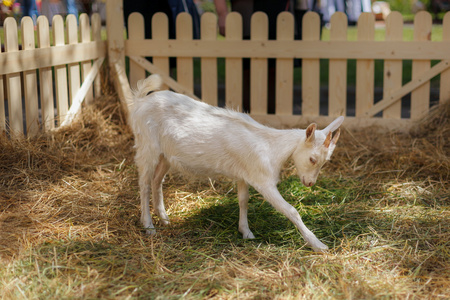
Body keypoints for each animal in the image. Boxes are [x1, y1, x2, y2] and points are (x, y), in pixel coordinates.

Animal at [130, 74, 344, 251]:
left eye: (326, 162)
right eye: (312, 159)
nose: (310, 183)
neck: (271, 146)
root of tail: (140, 101)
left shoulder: (244, 173)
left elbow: (243, 200)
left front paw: (245, 232)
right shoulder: (263, 181)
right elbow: (291, 211)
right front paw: (318, 245)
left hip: (165, 154)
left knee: (157, 181)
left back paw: (164, 219)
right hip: (147, 146)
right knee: (144, 183)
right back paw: (149, 226)